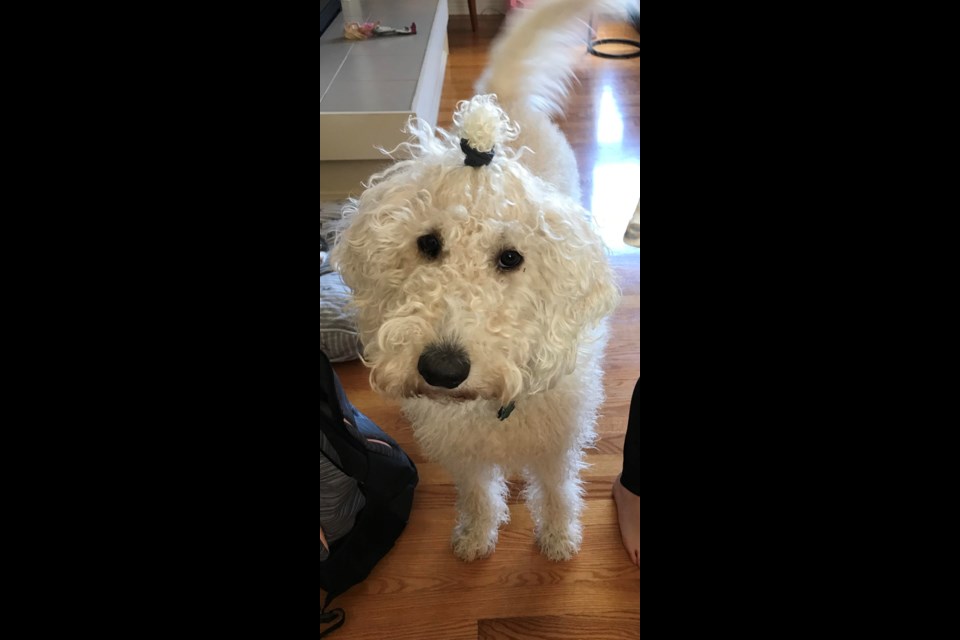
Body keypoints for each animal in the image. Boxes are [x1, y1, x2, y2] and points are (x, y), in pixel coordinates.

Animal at [334, 0, 632, 560]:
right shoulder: (463, 450)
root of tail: (506, 100)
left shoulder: (556, 444)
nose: (443, 370)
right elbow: (476, 489)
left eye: (511, 258)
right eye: (428, 244)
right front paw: (476, 532)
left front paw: (558, 536)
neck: (493, 404)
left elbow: (555, 488)